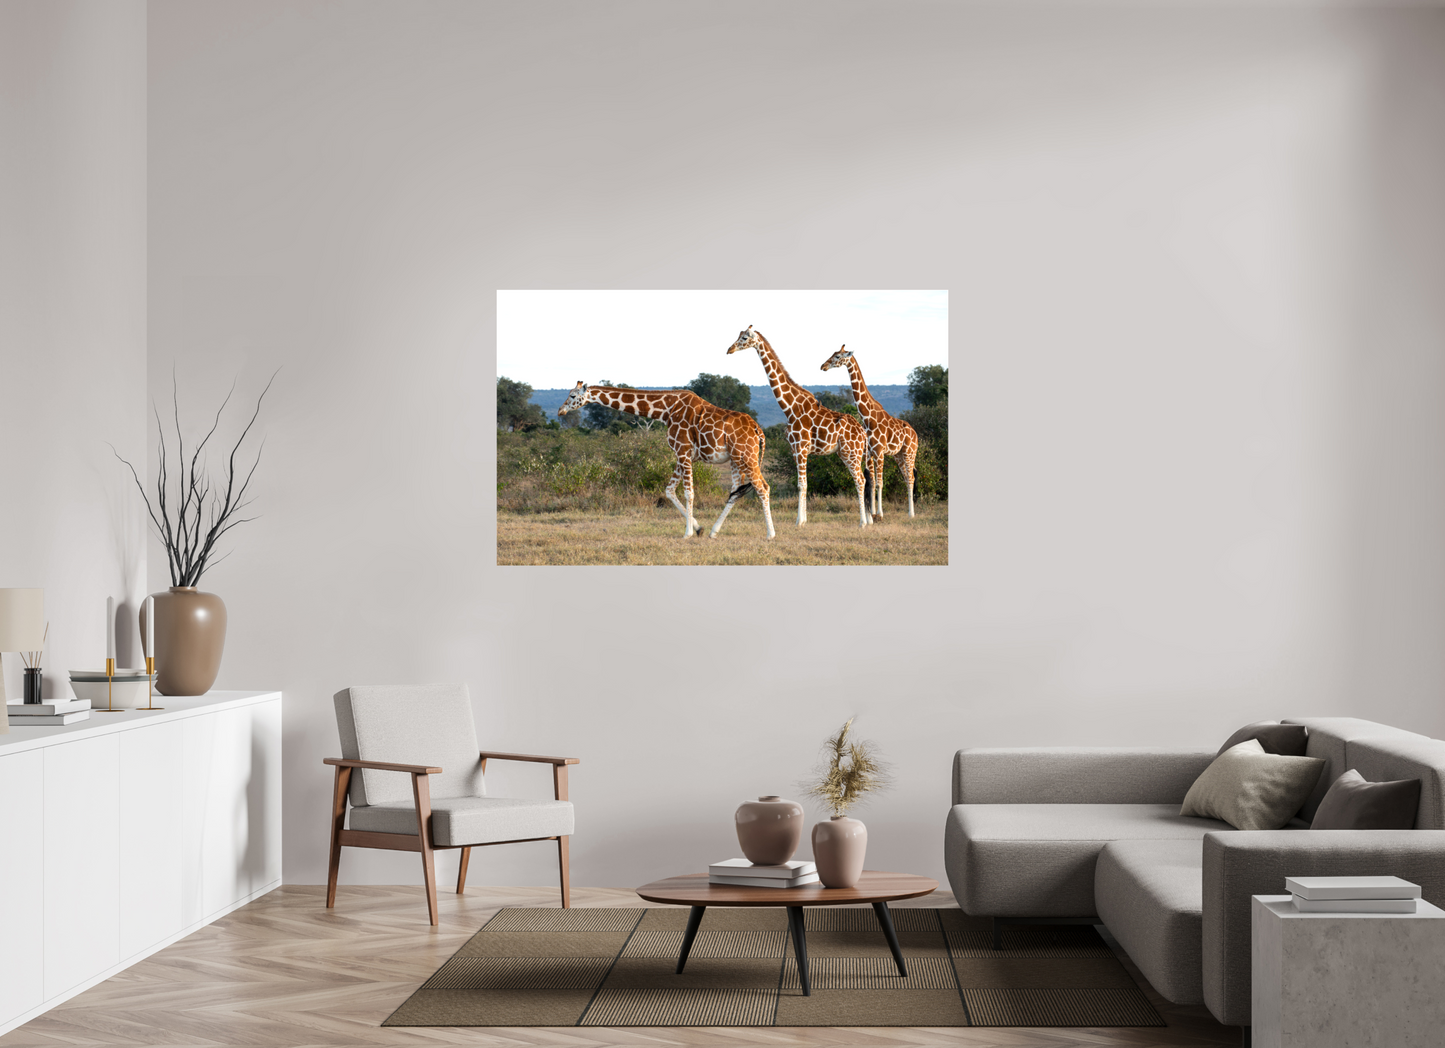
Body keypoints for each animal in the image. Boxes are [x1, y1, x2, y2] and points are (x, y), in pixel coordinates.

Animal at [557, 382, 775, 539]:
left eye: (573, 396)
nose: (561, 411)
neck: (665, 410)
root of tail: (758, 430)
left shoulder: (683, 451)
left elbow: (689, 493)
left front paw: (687, 533)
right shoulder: (682, 455)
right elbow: (669, 490)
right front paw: (698, 529)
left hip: (746, 456)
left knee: (762, 487)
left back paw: (770, 534)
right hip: (735, 459)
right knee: (736, 491)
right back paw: (714, 532)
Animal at [727, 327, 872, 528]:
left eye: (745, 337)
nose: (729, 349)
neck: (790, 407)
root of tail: (863, 433)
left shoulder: (801, 447)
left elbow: (801, 484)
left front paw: (799, 522)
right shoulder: (796, 449)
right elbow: (803, 484)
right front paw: (803, 520)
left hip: (851, 453)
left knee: (860, 480)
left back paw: (862, 522)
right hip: (850, 453)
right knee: (863, 479)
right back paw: (867, 520)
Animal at [821, 345, 919, 519]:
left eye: (838, 356)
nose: (823, 366)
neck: (867, 417)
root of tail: (916, 434)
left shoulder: (879, 451)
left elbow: (879, 482)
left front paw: (880, 513)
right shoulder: (869, 453)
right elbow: (872, 482)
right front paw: (872, 513)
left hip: (909, 452)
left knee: (911, 478)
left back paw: (911, 513)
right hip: (899, 455)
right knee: (907, 477)